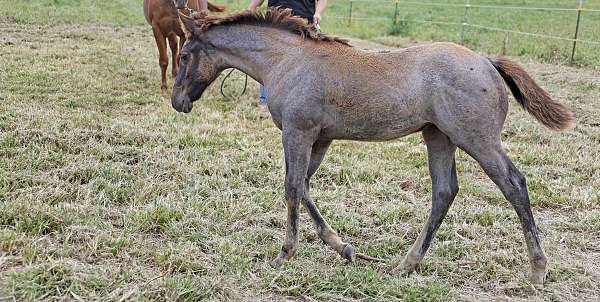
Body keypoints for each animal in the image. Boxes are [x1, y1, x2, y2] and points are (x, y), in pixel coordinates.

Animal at [169, 7, 572, 286]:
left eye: (184, 55)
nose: (177, 102)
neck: (288, 61)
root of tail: (487, 61)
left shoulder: (298, 132)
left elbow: (291, 187)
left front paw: (284, 255)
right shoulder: (321, 138)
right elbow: (305, 186)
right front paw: (341, 246)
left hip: (477, 139)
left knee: (514, 184)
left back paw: (538, 269)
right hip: (437, 136)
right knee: (445, 191)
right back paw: (407, 264)